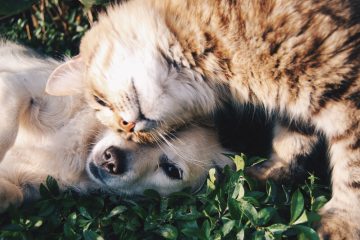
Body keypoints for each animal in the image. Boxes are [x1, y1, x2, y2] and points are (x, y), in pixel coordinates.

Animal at [46, 0, 358, 238]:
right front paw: (270, 174)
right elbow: (291, 141)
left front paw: (341, 222)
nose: (129, 126)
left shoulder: (345, 88)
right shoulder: (297, 103)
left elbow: (351, 168)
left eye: (100, 102)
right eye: (127, 132)